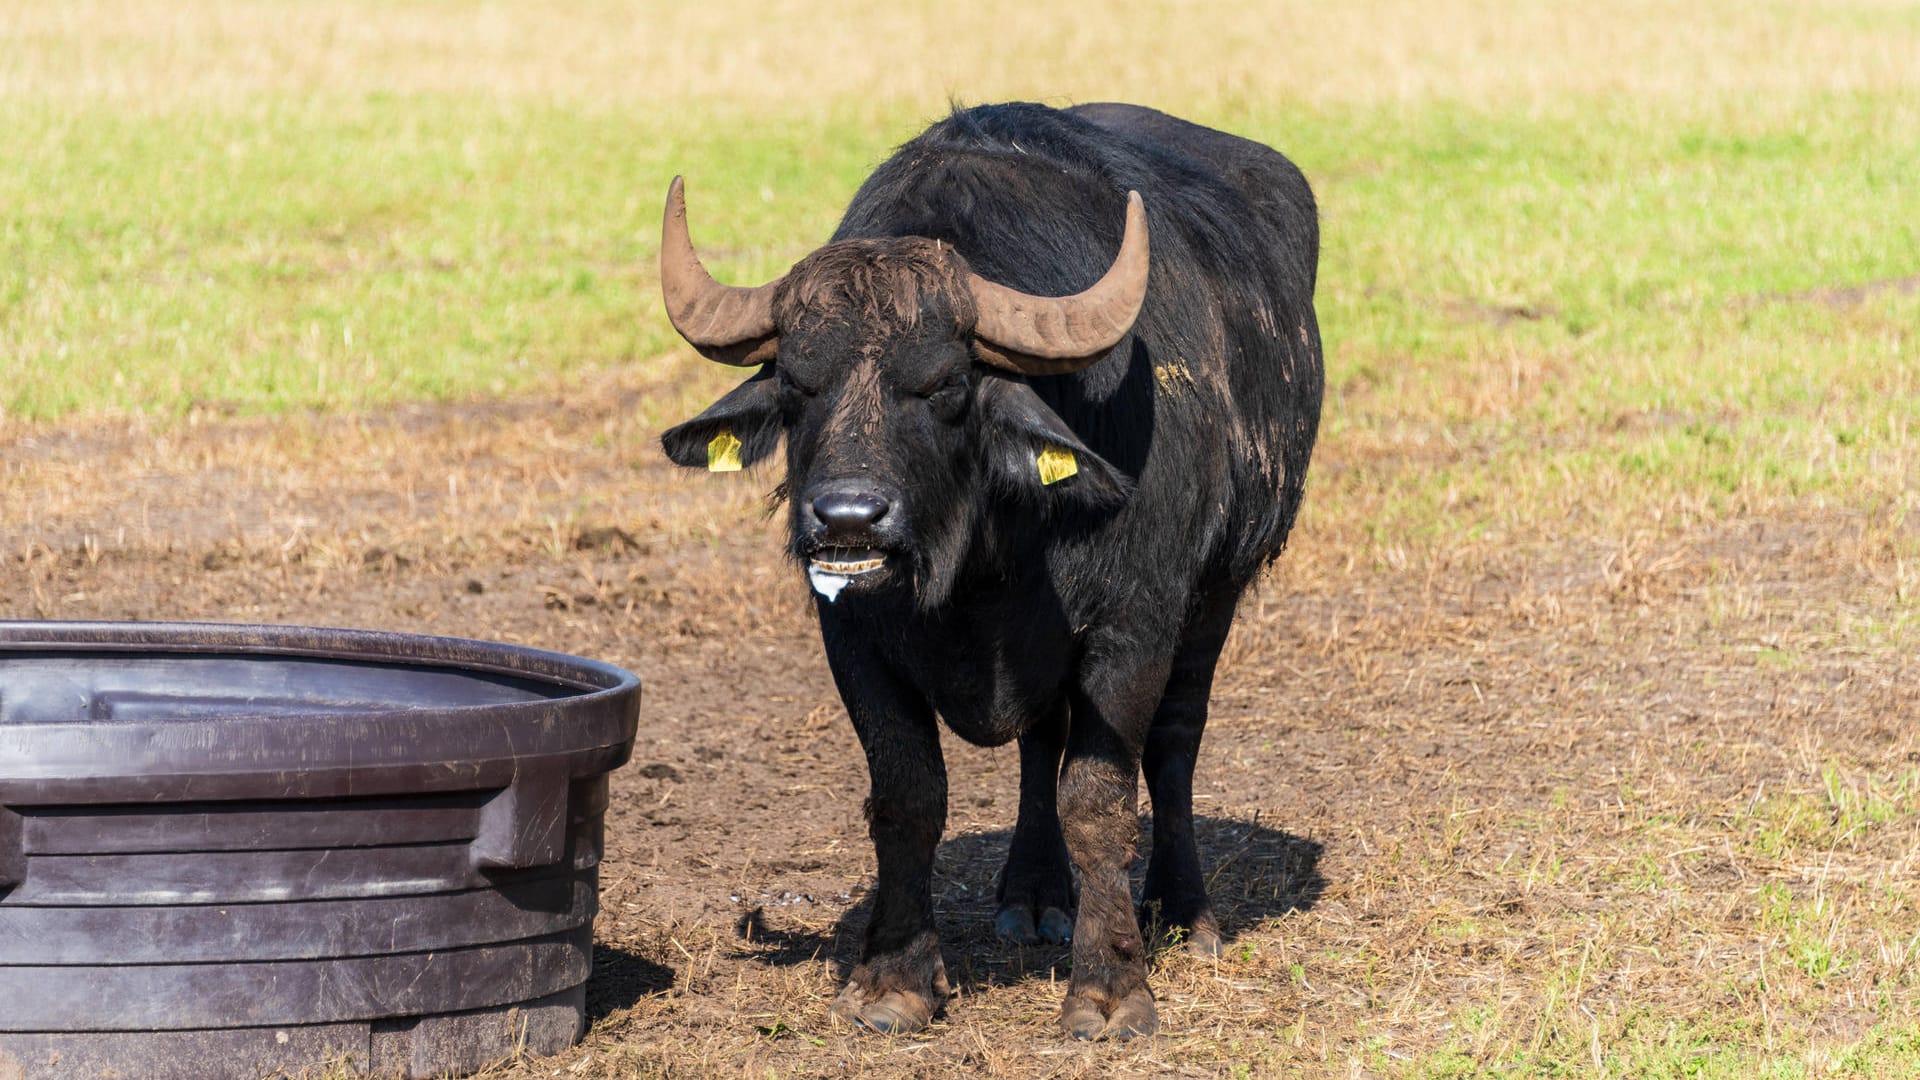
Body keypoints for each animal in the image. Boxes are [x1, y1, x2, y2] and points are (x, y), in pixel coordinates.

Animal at [660, 100, 1320, 1037]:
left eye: (944, 386)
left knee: (1174, 744)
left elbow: (1100, 799)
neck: (980, 566)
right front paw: (895, 978)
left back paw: (1184, 911)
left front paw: (1110, 989)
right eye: (794, 385)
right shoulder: (853, 638)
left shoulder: (1132, 627)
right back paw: (1035, 895)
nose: (848, 519)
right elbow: (909, 795)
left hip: (1219, 591)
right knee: (1040, 742)